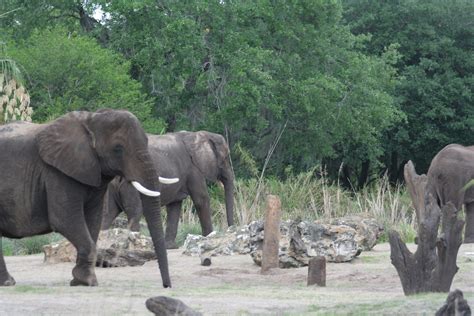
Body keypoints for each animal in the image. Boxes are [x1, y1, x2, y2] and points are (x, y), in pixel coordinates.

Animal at [0, 110, 174, 288]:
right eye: (118, 148)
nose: (166, 286)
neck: (91, 120)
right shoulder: (57, 174)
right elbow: (65, 220)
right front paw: (87, 281)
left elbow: (94, 221)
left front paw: (79, 281)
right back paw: (8, 282)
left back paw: (7, 282)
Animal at [102, 131, 233, 249]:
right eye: (226, 158)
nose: (231, 229)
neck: (199, 134)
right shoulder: (193, 169)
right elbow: (201, 199)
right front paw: (209, 237)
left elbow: (174, 206)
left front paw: (170, 246)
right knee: (135, 212)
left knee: (108, 213)